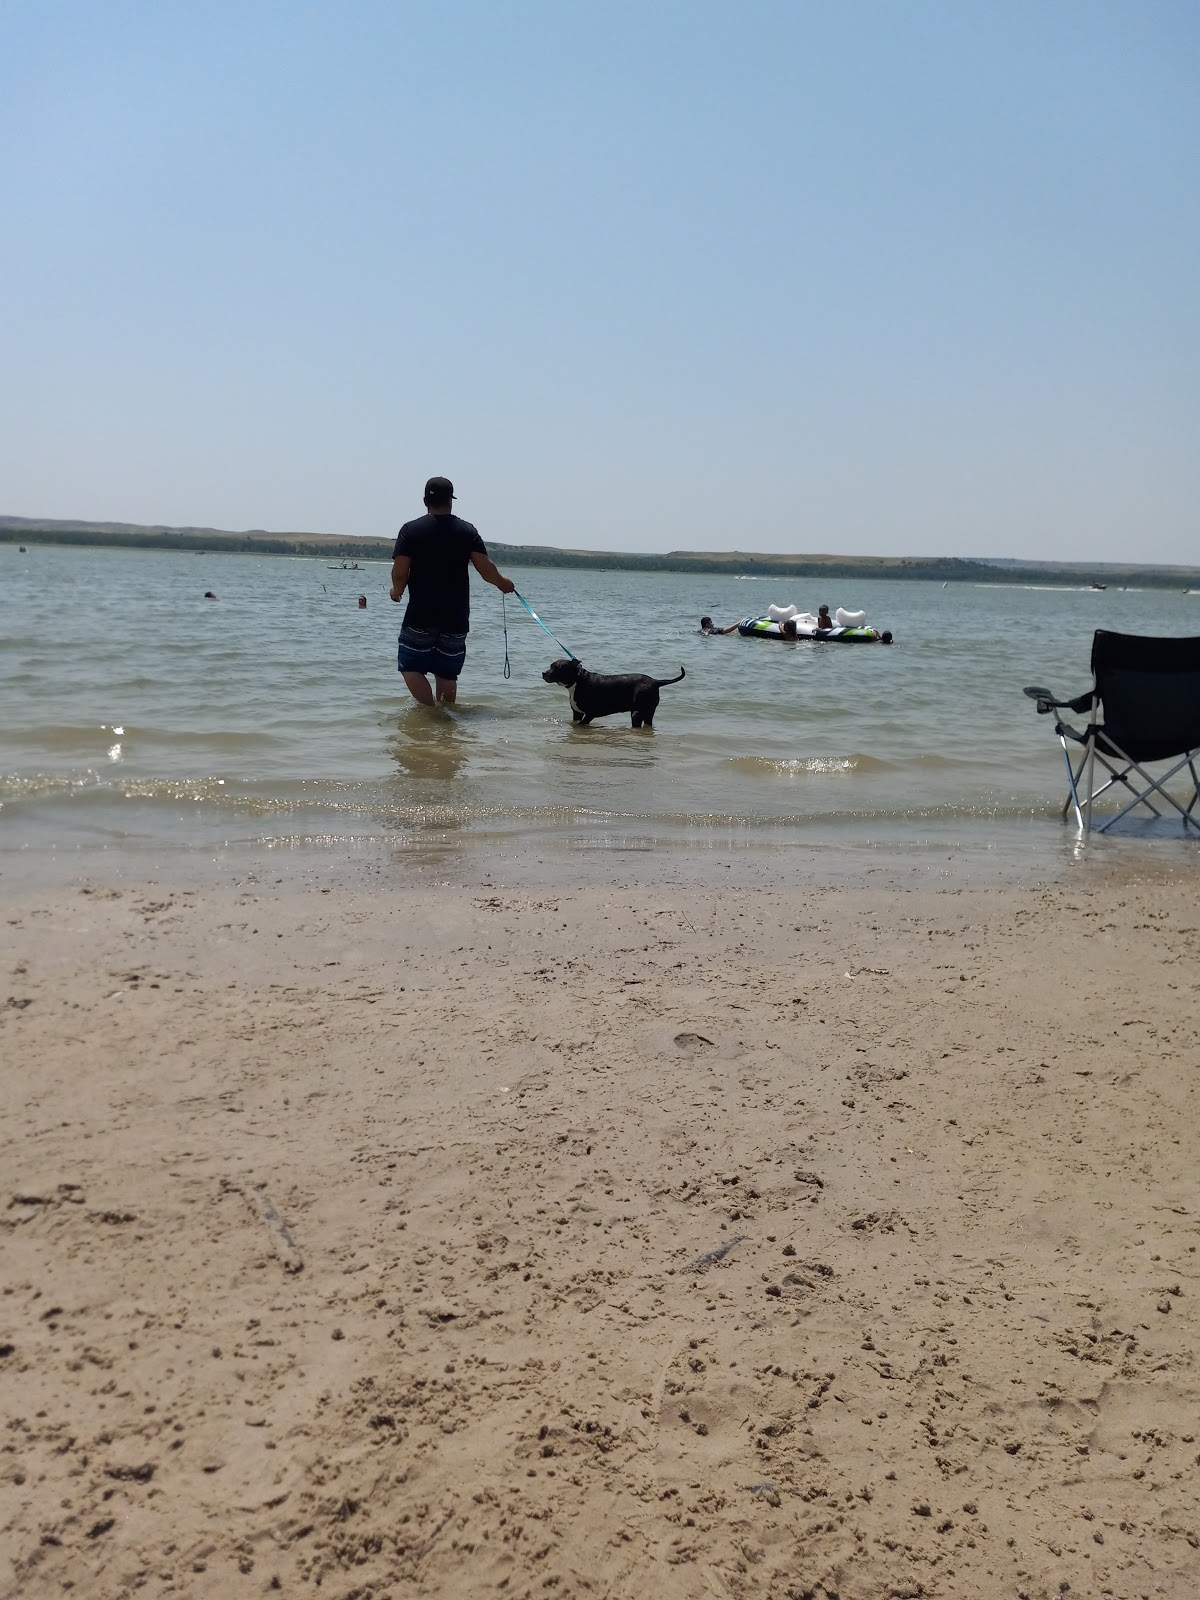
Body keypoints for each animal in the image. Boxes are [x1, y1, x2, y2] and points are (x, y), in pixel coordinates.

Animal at [544, 652, 684, 729]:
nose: (543, 673)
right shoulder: (577, 713)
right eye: (550, 666)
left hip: (637, 713)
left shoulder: (590, 714)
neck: (578, 680)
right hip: (649, 712)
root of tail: (655, 681)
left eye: (557, 668)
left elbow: (581, 724)